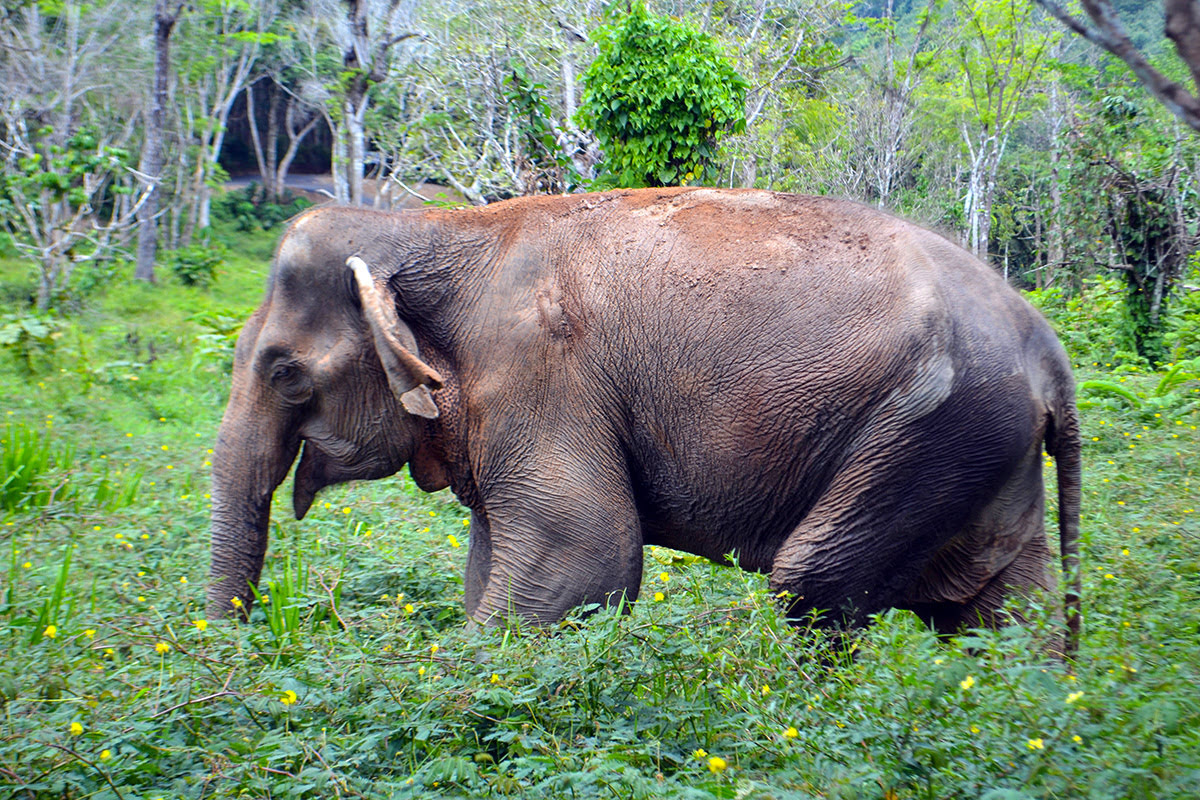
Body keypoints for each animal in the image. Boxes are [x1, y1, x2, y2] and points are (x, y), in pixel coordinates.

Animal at [211, 189, 1084, 657]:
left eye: (284, 371)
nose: (242, 649)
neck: (436, 228)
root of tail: (1050, 352)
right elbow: (498, 562)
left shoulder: (541, 373)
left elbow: (583, 553)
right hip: (983, 446)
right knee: (1003, 609)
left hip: (931, 429)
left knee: (812, 582)